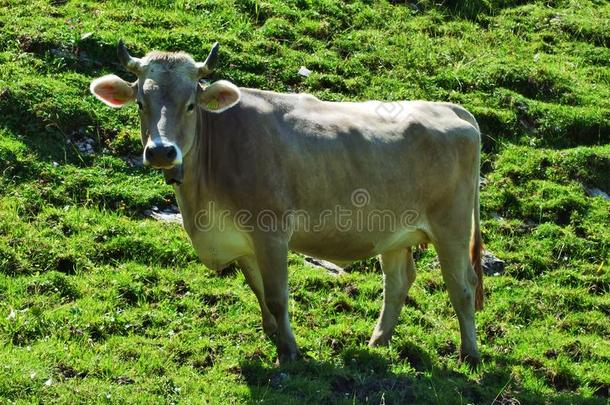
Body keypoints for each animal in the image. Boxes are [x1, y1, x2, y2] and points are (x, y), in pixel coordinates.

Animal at [90, 41, 482, 362]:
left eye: (189, 105)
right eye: (141, 103)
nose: (161, 151)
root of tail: (450, 107)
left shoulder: (271, 232)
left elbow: (278, 295)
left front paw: (290, 351)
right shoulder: (242, 240)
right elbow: (259, 291)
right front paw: (273, 335)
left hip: (452, 225)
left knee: (462, 287)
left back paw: (470, 354)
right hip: (394, 232)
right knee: (399, 281)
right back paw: (378, 341)